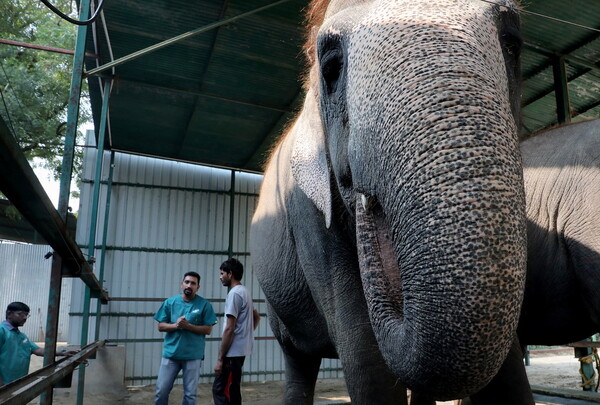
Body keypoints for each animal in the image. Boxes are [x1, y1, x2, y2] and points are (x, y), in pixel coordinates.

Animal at [251, 1, 528, 402]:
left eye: (511, 44)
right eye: (331, 68)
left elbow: (509, 364)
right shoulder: (306, 213)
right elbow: (363, 353)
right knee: (298, 359)